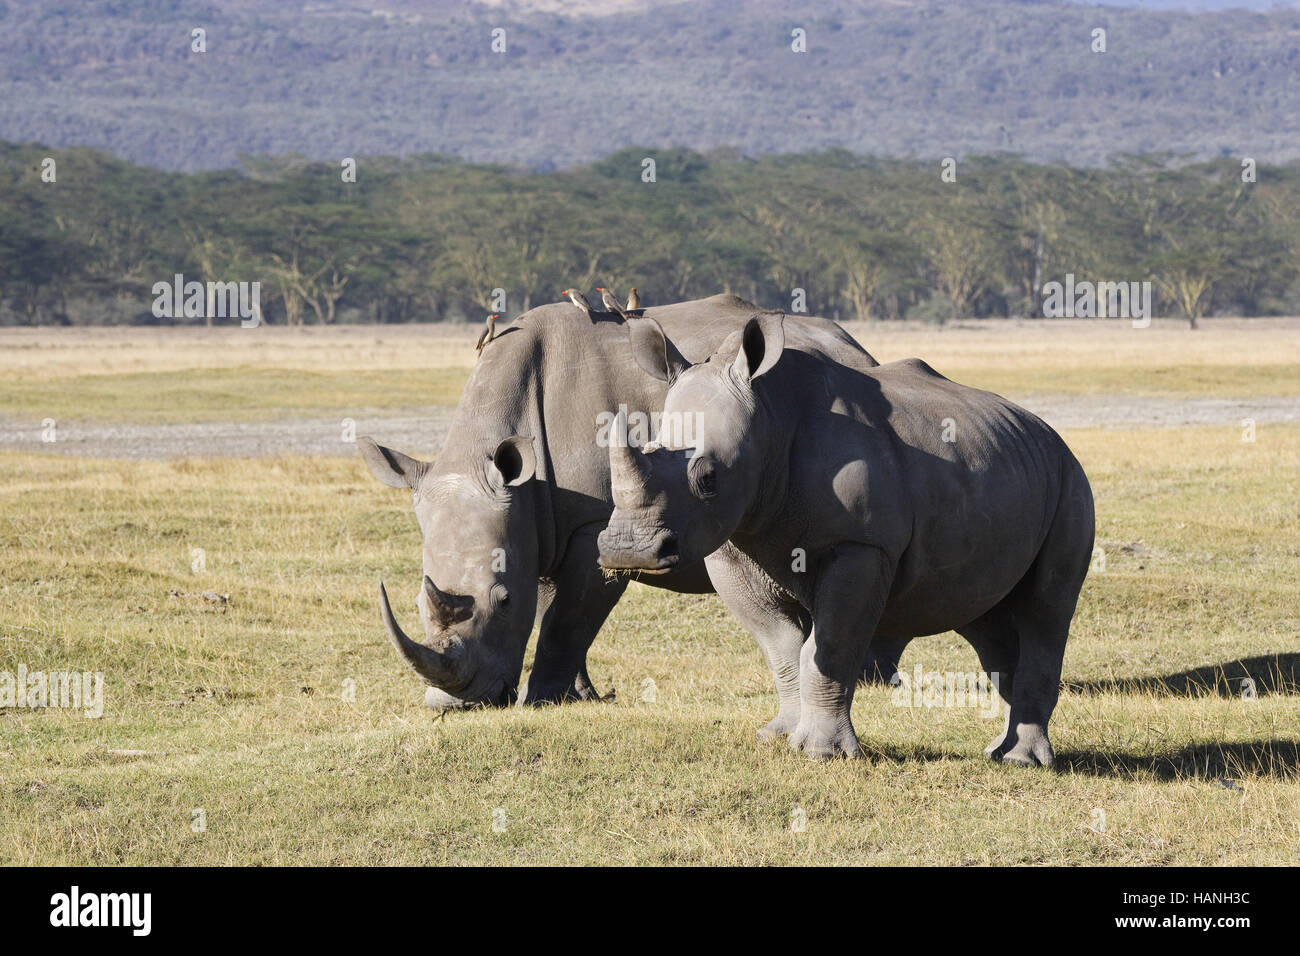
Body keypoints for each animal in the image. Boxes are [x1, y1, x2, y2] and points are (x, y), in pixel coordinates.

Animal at [356, 297, 889, 712]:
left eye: (503, 601)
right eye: (417, 602)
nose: (456, 703)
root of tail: (853, 343)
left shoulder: (596, 524)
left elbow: (566, 619)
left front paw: (541, 699)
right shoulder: (539, 519)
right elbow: (552, 608)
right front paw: (579, 697)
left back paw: (870, 683)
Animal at [598, 317, 1097, 764]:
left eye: (708, 478)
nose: (628, 551)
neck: (770, 419)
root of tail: (1049, 433)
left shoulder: (860, 544)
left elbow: (829, 646)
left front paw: (822, 754)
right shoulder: (732, 547)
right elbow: (783, 650)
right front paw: (780, 738)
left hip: (1070, 480)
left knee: (1046, 609)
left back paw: (1023, 760)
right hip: (1004, 467)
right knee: (980, 614)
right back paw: (999, 752)